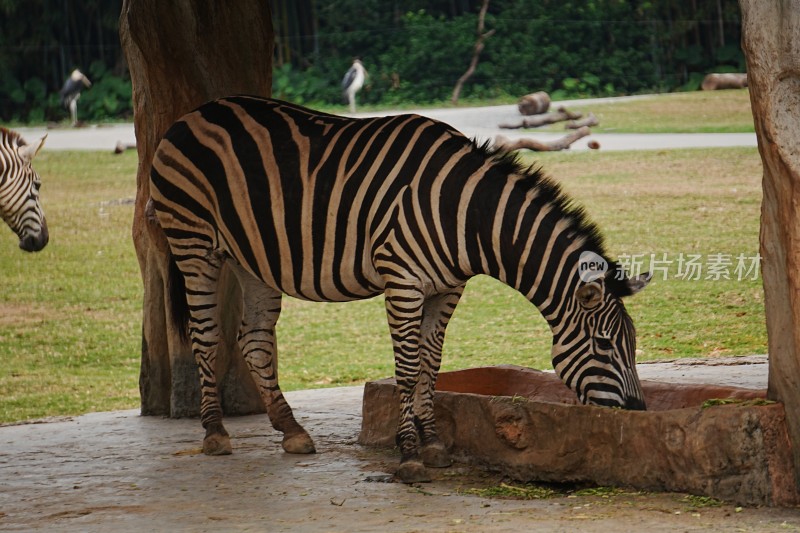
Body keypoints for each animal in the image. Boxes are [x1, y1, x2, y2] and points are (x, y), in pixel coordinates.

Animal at [150, 95, 648, 482]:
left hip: (251, 258)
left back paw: (291, 429)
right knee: (205, 335)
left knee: (254, 339)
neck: (465, 216)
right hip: (194, 242)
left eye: (632, 344)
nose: (639, 413)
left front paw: (433, 444)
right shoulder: (403, 281)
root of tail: (195, 113)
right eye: (605, 345)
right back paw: (215, 433)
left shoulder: (447, 289)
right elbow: (407, 369)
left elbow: (430, 364)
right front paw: (409, 454)